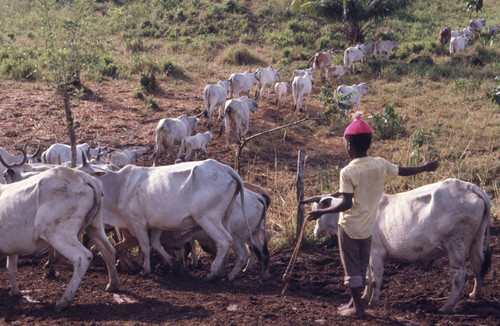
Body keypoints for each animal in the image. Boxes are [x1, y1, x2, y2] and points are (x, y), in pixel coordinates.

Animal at [312, 180, 492, 312]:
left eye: (317, 211)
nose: (314, 232)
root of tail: (468, 186)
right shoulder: (368, 252)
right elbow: (367, 276)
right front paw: (364, 297)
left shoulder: (376, 252)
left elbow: (376, 278)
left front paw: (373, 302)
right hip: (476, 241)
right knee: (478, 264)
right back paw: (475, 294)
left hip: (456, 245)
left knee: (460, 275)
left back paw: (446, 307)